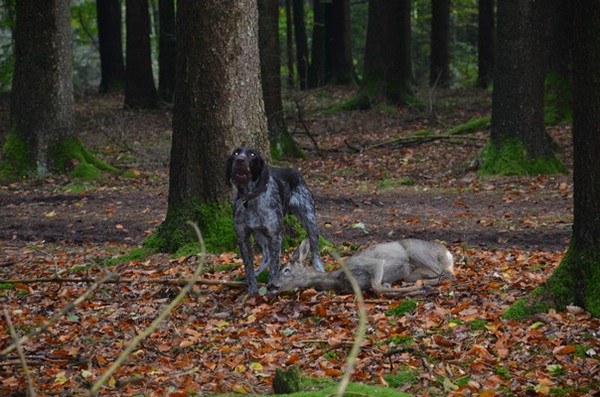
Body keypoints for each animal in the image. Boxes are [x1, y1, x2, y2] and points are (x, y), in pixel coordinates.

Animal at [268, 237, 454, 296]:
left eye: (286, 270)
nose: (270, 285)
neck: (338, 278)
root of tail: (447, 253)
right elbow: (383, 288)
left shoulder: (373, 264)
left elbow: (378, 288)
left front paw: (419, 290)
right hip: (411, 272)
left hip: (417, 251)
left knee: (448, 274)